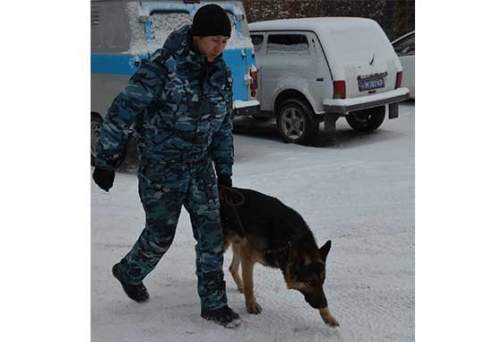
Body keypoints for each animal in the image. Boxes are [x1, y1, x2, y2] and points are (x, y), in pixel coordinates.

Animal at [218, 187, 336, 328]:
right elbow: (249, 284)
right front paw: (251, 305)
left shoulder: (245, 252)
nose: (324, 303)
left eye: (323, 280)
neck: (291, 240)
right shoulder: (248, 257)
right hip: (225, 244)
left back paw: (240, 287)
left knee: (232, 268)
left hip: (238, 243)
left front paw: (328, 316)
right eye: (309, 282)